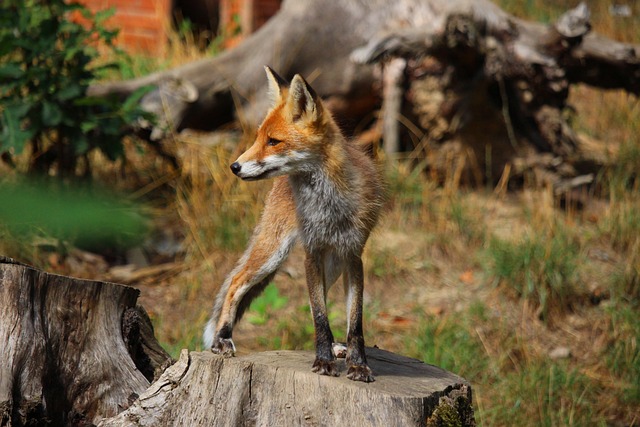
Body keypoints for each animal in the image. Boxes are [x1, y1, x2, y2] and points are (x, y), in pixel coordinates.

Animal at [205, 67, 382, 384]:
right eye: (258, 138)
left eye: (273, 141)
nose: (234, 167)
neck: (329, 206)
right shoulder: (312, 253)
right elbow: (319, 318)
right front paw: (323, 361)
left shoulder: (352, 255)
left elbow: (354, 323)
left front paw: (358, 365)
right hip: (273, 252)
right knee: (236, 282)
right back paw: (222, 338)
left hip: (331, 264)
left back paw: (338, 348)